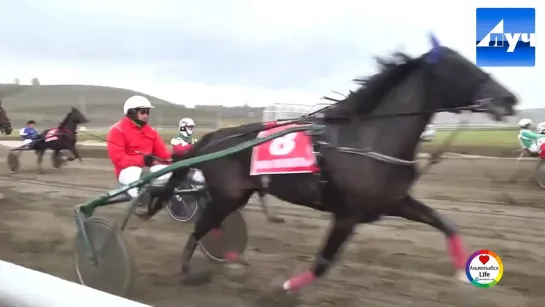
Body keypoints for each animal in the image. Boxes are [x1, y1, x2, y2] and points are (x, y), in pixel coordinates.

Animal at [155, 34, 516, 306]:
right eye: (460, 67)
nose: (509, 99)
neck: (368, 138)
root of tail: (213, 137)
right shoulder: (346, 215)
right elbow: (323, 264)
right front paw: (282, 288)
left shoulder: (393, 202)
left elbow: (446, 223)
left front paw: (463, 274)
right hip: (228, 195)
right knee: (200, 226)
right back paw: (189, 271)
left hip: (236, 195)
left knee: (211, 225)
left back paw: (228, 259)